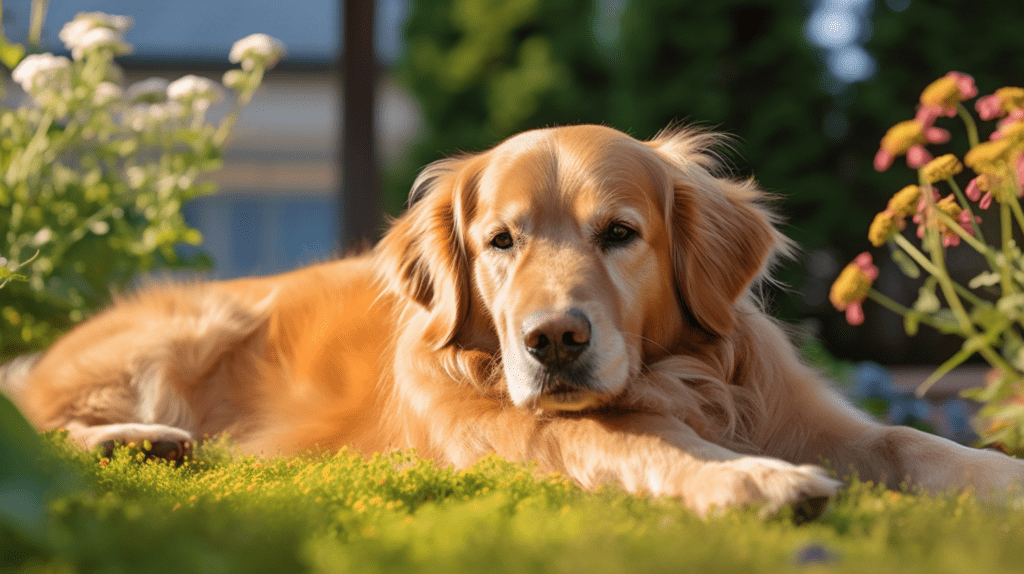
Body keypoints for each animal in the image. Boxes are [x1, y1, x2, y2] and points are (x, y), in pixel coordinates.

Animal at [4, 123, 1019, 517]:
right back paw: (139, 439)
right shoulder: (534, 436)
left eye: (620, 234)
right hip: (203, 319)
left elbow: (911, 442)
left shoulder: (813, 417)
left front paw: (999, 475)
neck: (674, 380)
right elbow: (638, 445)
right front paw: (755, 481)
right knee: (43, 431)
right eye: (501, 241)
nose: (553, 340)